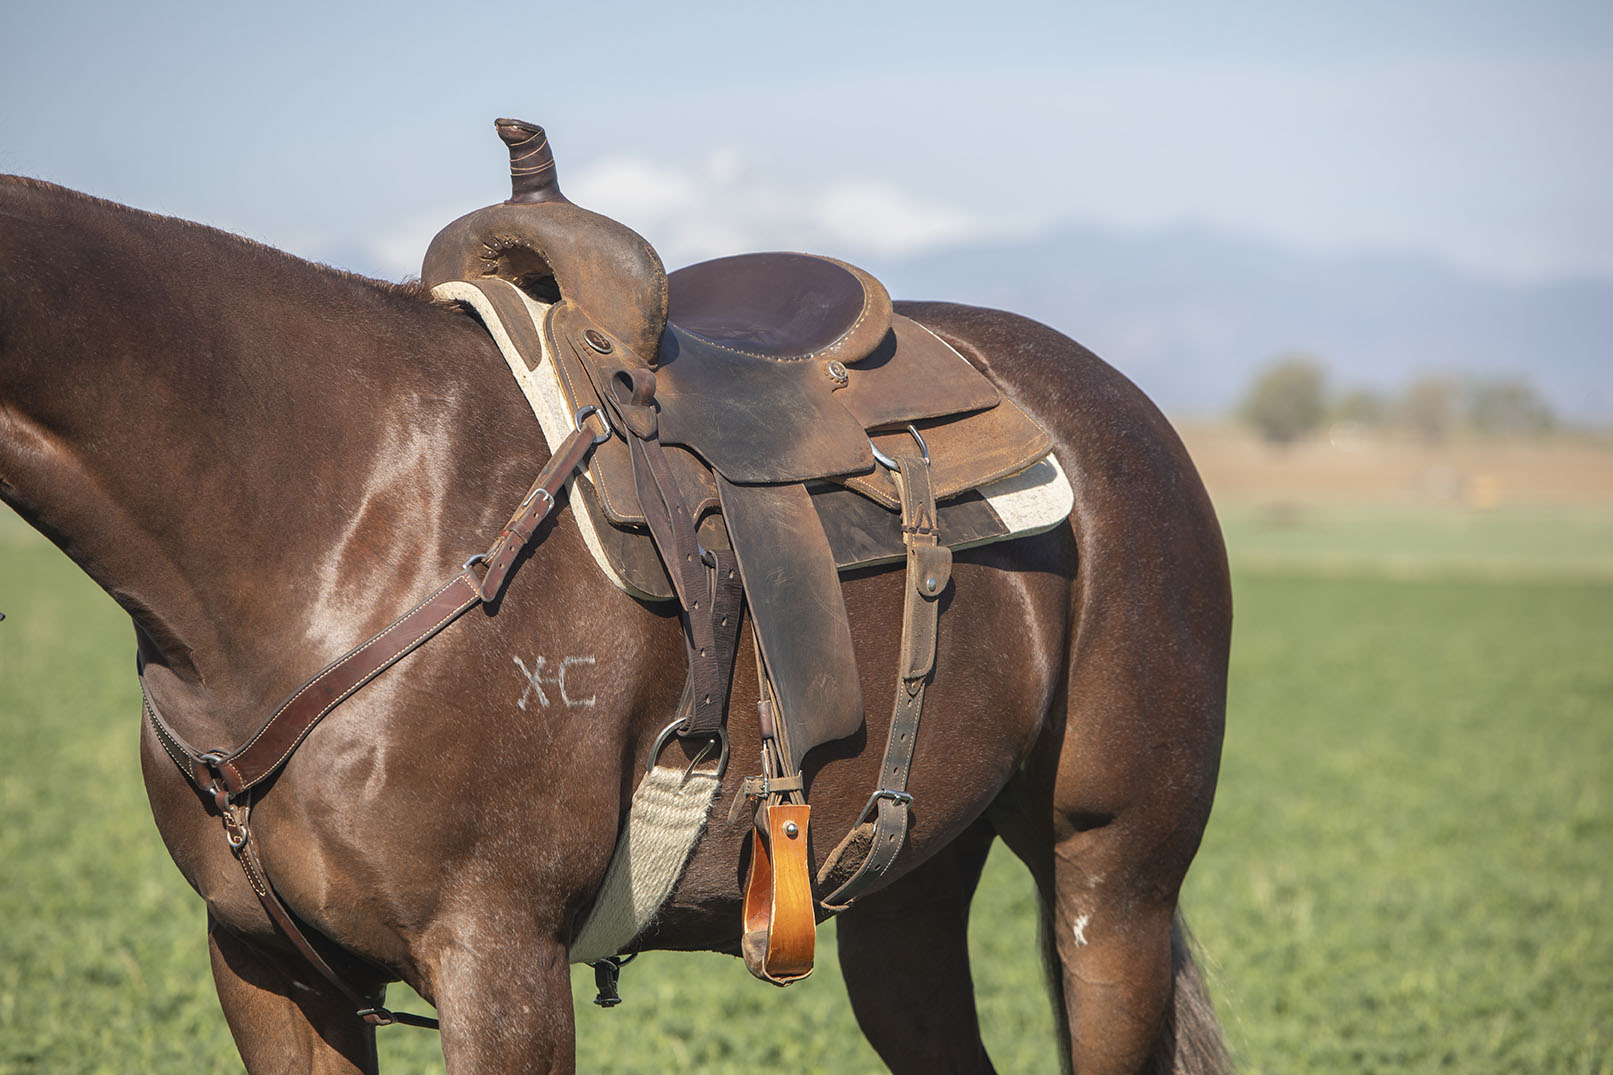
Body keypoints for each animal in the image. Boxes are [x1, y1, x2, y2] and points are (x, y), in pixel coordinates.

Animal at [0, 171, 1233, 1074]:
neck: (338, 513)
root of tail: (1120, 410)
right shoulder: (266, 970)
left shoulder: (499, 964)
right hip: (908, 889)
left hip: (1110, 879)